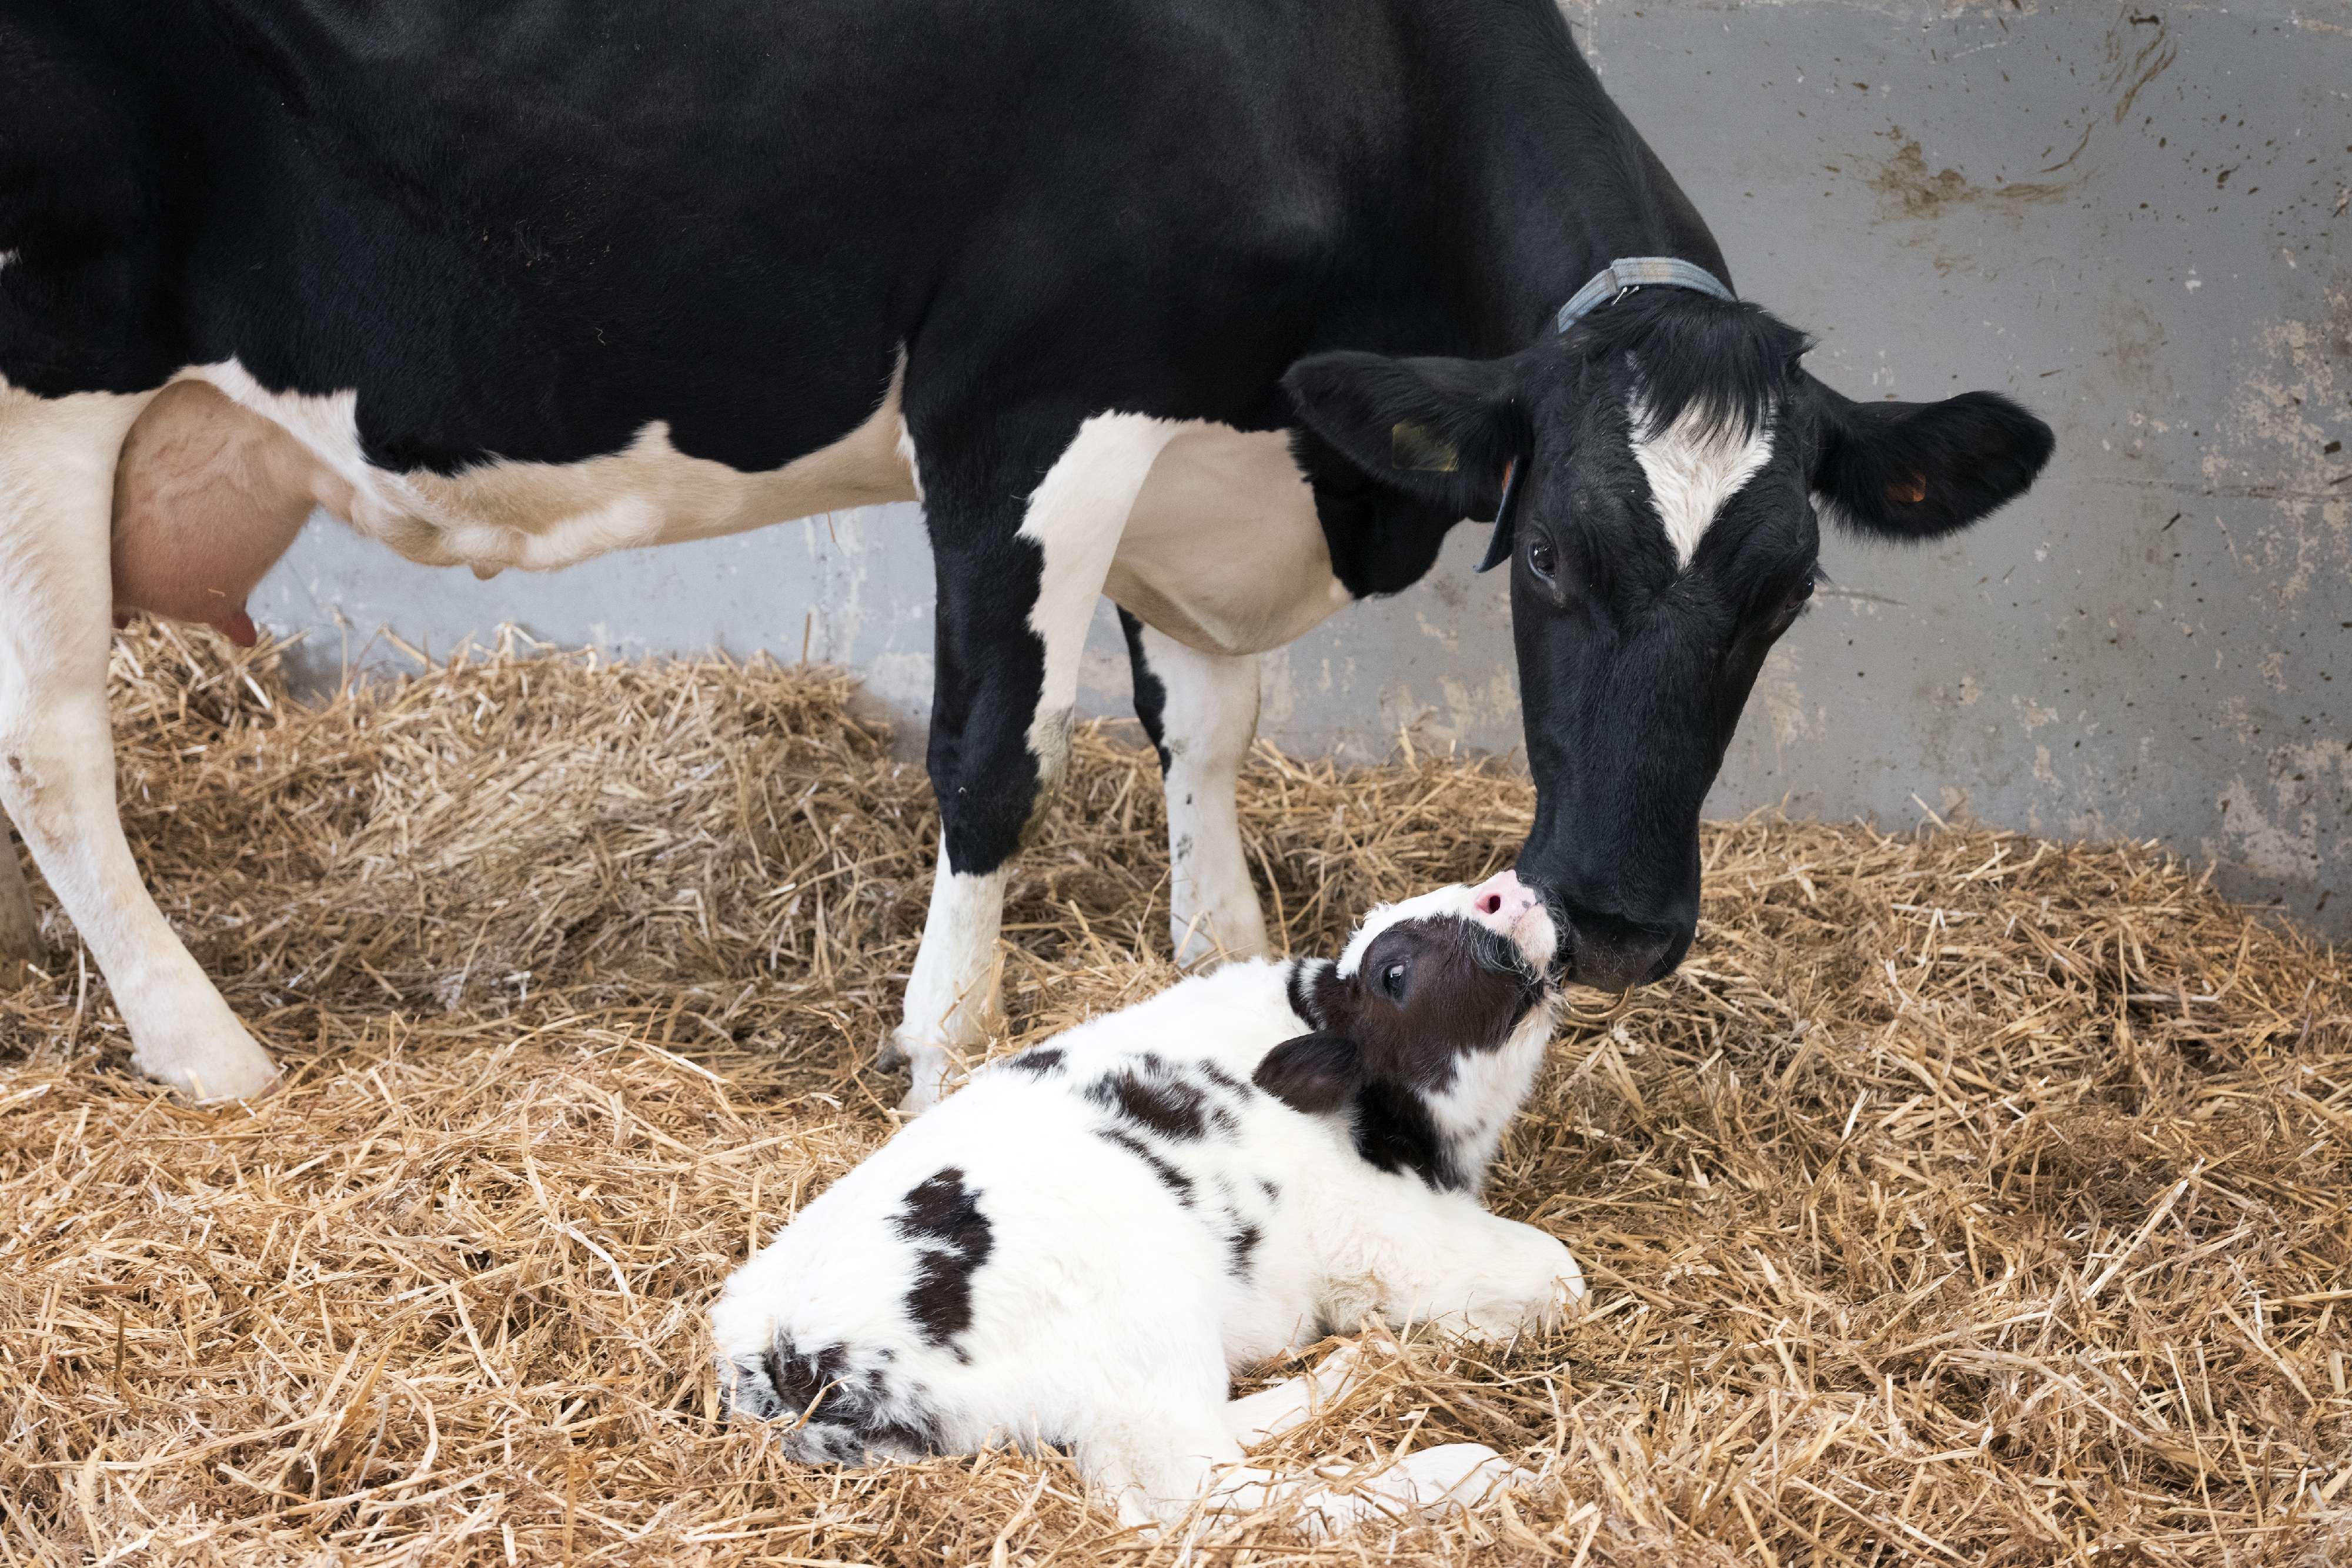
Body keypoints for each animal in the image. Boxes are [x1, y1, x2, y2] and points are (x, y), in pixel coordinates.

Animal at [0, 0, 2060, 1109]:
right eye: (1546, 558)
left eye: (1788, 589)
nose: (1624, 920)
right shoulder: (1026, 400)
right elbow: (996, 755)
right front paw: (942, 1052)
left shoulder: (1211, 448)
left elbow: (1208, 740)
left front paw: (1226, 970)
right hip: (43, 379)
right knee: (53, 744)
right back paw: (206, 1048)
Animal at [696, 870, 1581, 1533]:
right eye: (1393, 973)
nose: (1507, 888)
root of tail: (782, 1353)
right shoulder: (1387, 1236)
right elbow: (1558, 1274)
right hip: (1140, 1335)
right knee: (1200, 1494)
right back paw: (1464, 1469)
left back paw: (1356, 1368)